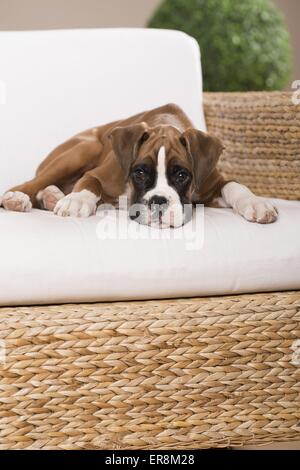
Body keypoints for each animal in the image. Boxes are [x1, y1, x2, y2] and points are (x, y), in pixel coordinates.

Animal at [0, 103, 278, 228]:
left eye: (182, 175)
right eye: (140, 172)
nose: (159, 202)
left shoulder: (211, 183)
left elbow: (235, 185)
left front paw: (256, 203)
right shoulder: (100, 173)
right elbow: (89, 182)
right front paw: (77, 201)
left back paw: (51, 197)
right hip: (83, 149)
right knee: (32, 182)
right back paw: (19, 198)